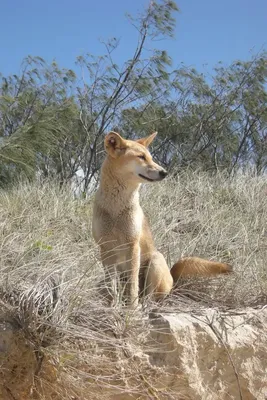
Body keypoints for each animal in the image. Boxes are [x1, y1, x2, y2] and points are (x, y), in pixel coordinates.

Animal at [92, 131, 232, 306]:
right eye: (141, 157)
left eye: (151, 158)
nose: (164, 172)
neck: (115, 209)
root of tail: (173, 279)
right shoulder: (106, 249)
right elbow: (112, 288)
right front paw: (112, 306)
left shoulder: (133, 245)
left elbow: (132, 286)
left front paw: (132, 308)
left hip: (155, 260)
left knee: (149, 296)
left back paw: (143, 306)